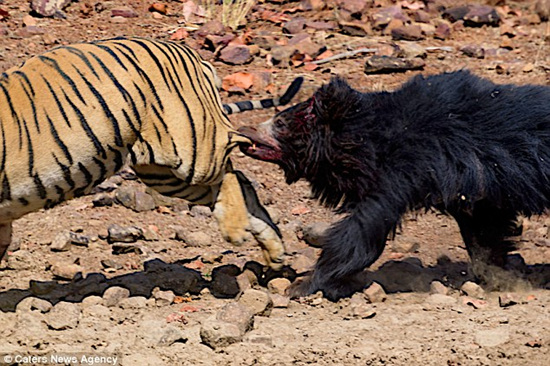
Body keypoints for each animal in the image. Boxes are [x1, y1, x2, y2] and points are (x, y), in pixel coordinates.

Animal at [0, 37, 302, 270]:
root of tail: (192, 55)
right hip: (164, 174)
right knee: (240, 181)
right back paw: (274, 252)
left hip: (195, 151)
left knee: (231, 163)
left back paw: (235, 230)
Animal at [239, 71, 550, 300]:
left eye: (280, 122)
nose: (243, 130)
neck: (364, 139)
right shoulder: (473, 188)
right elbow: (484, 229)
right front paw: (495, 277)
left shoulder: (403, 170)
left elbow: (362, 230)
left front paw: (302, 284)